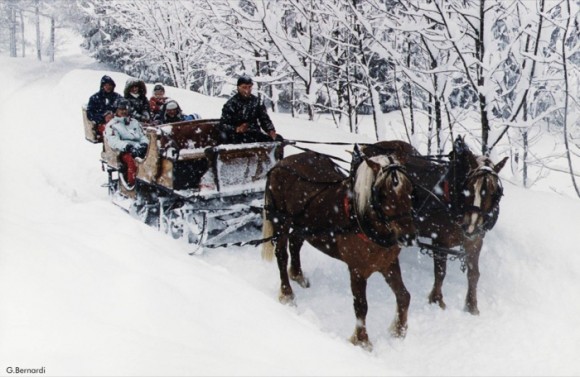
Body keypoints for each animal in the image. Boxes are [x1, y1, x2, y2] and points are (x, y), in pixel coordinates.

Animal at [262, 148, 416, 348]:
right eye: (384, 193)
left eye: (410, 190)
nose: (408, 236)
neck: (360, 220)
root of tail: (280, 163)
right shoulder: (357, 270)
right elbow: (361, 306)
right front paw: (362, 341)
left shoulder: (388, 263)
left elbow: (404, 295)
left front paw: (399, 331)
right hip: (279, 222)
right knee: (282, 255)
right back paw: (287, 294)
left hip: (301, 224)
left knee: (295, 245)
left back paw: (298, 276)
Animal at [364, 136, 506, 314]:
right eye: (469, 188)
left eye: (494, 193)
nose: (471, 226)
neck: (453, 199)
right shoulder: (440, 240)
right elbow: (440, 272)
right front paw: (436, 300)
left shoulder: (475, 241)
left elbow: (474, 274)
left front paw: (471, 306)